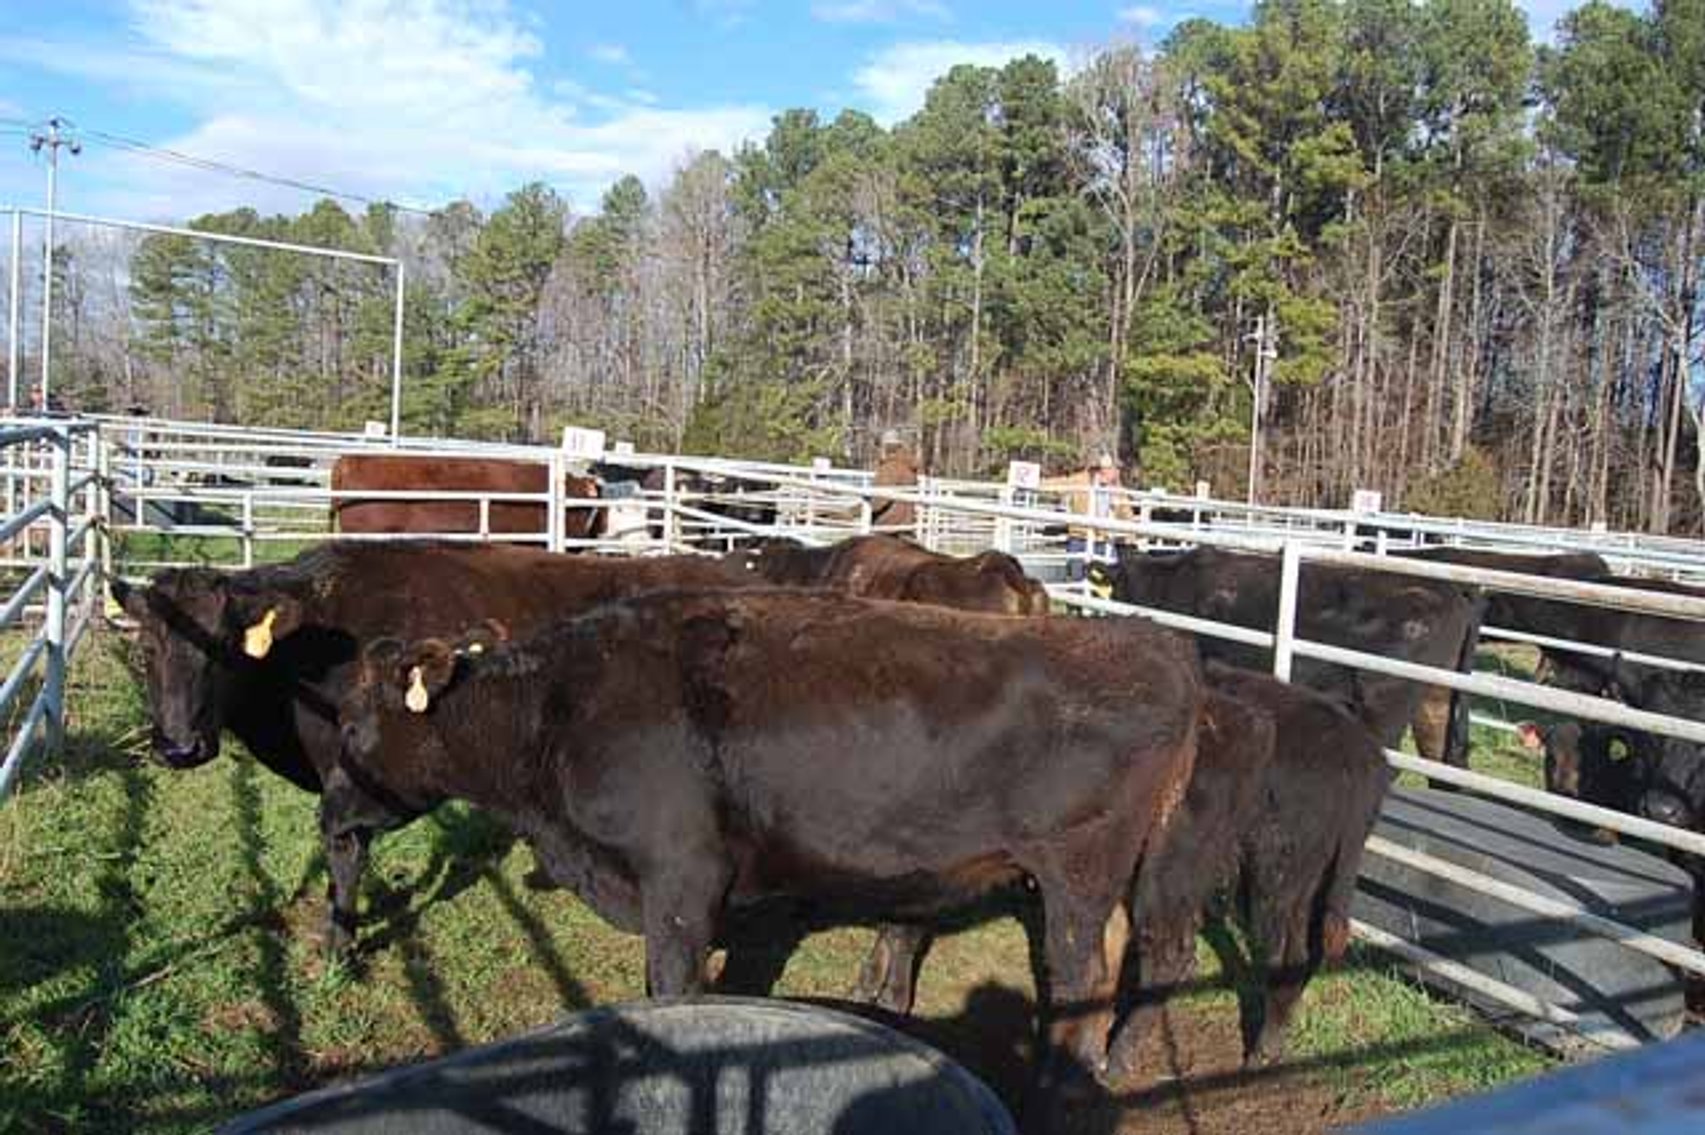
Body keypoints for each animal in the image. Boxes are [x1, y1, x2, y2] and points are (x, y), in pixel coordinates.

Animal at [338, 592, 1205, 1118]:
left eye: (348, 722)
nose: (334, 812)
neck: (558, 711)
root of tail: (1154, 644)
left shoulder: (681, 878)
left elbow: (673, 987)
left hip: (1076, 871)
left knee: (1083, 974)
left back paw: (1061, 1087)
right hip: (1117, 872)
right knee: (1133, 953)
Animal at [854, 663, 1391, 1080]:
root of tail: (1358, 749)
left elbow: (905, 921)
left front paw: (887, 999)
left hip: (1251, 877)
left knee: (1228, 954)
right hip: (1289, 884)